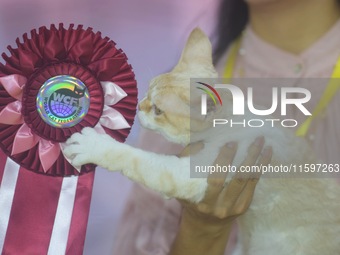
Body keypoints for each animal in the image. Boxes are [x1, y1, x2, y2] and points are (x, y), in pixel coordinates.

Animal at [63, 28, 340, 255]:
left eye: (159, 111)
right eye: (147, 92)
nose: (140, 107)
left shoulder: (184, 172)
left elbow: (134, 159)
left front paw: (93, 145)